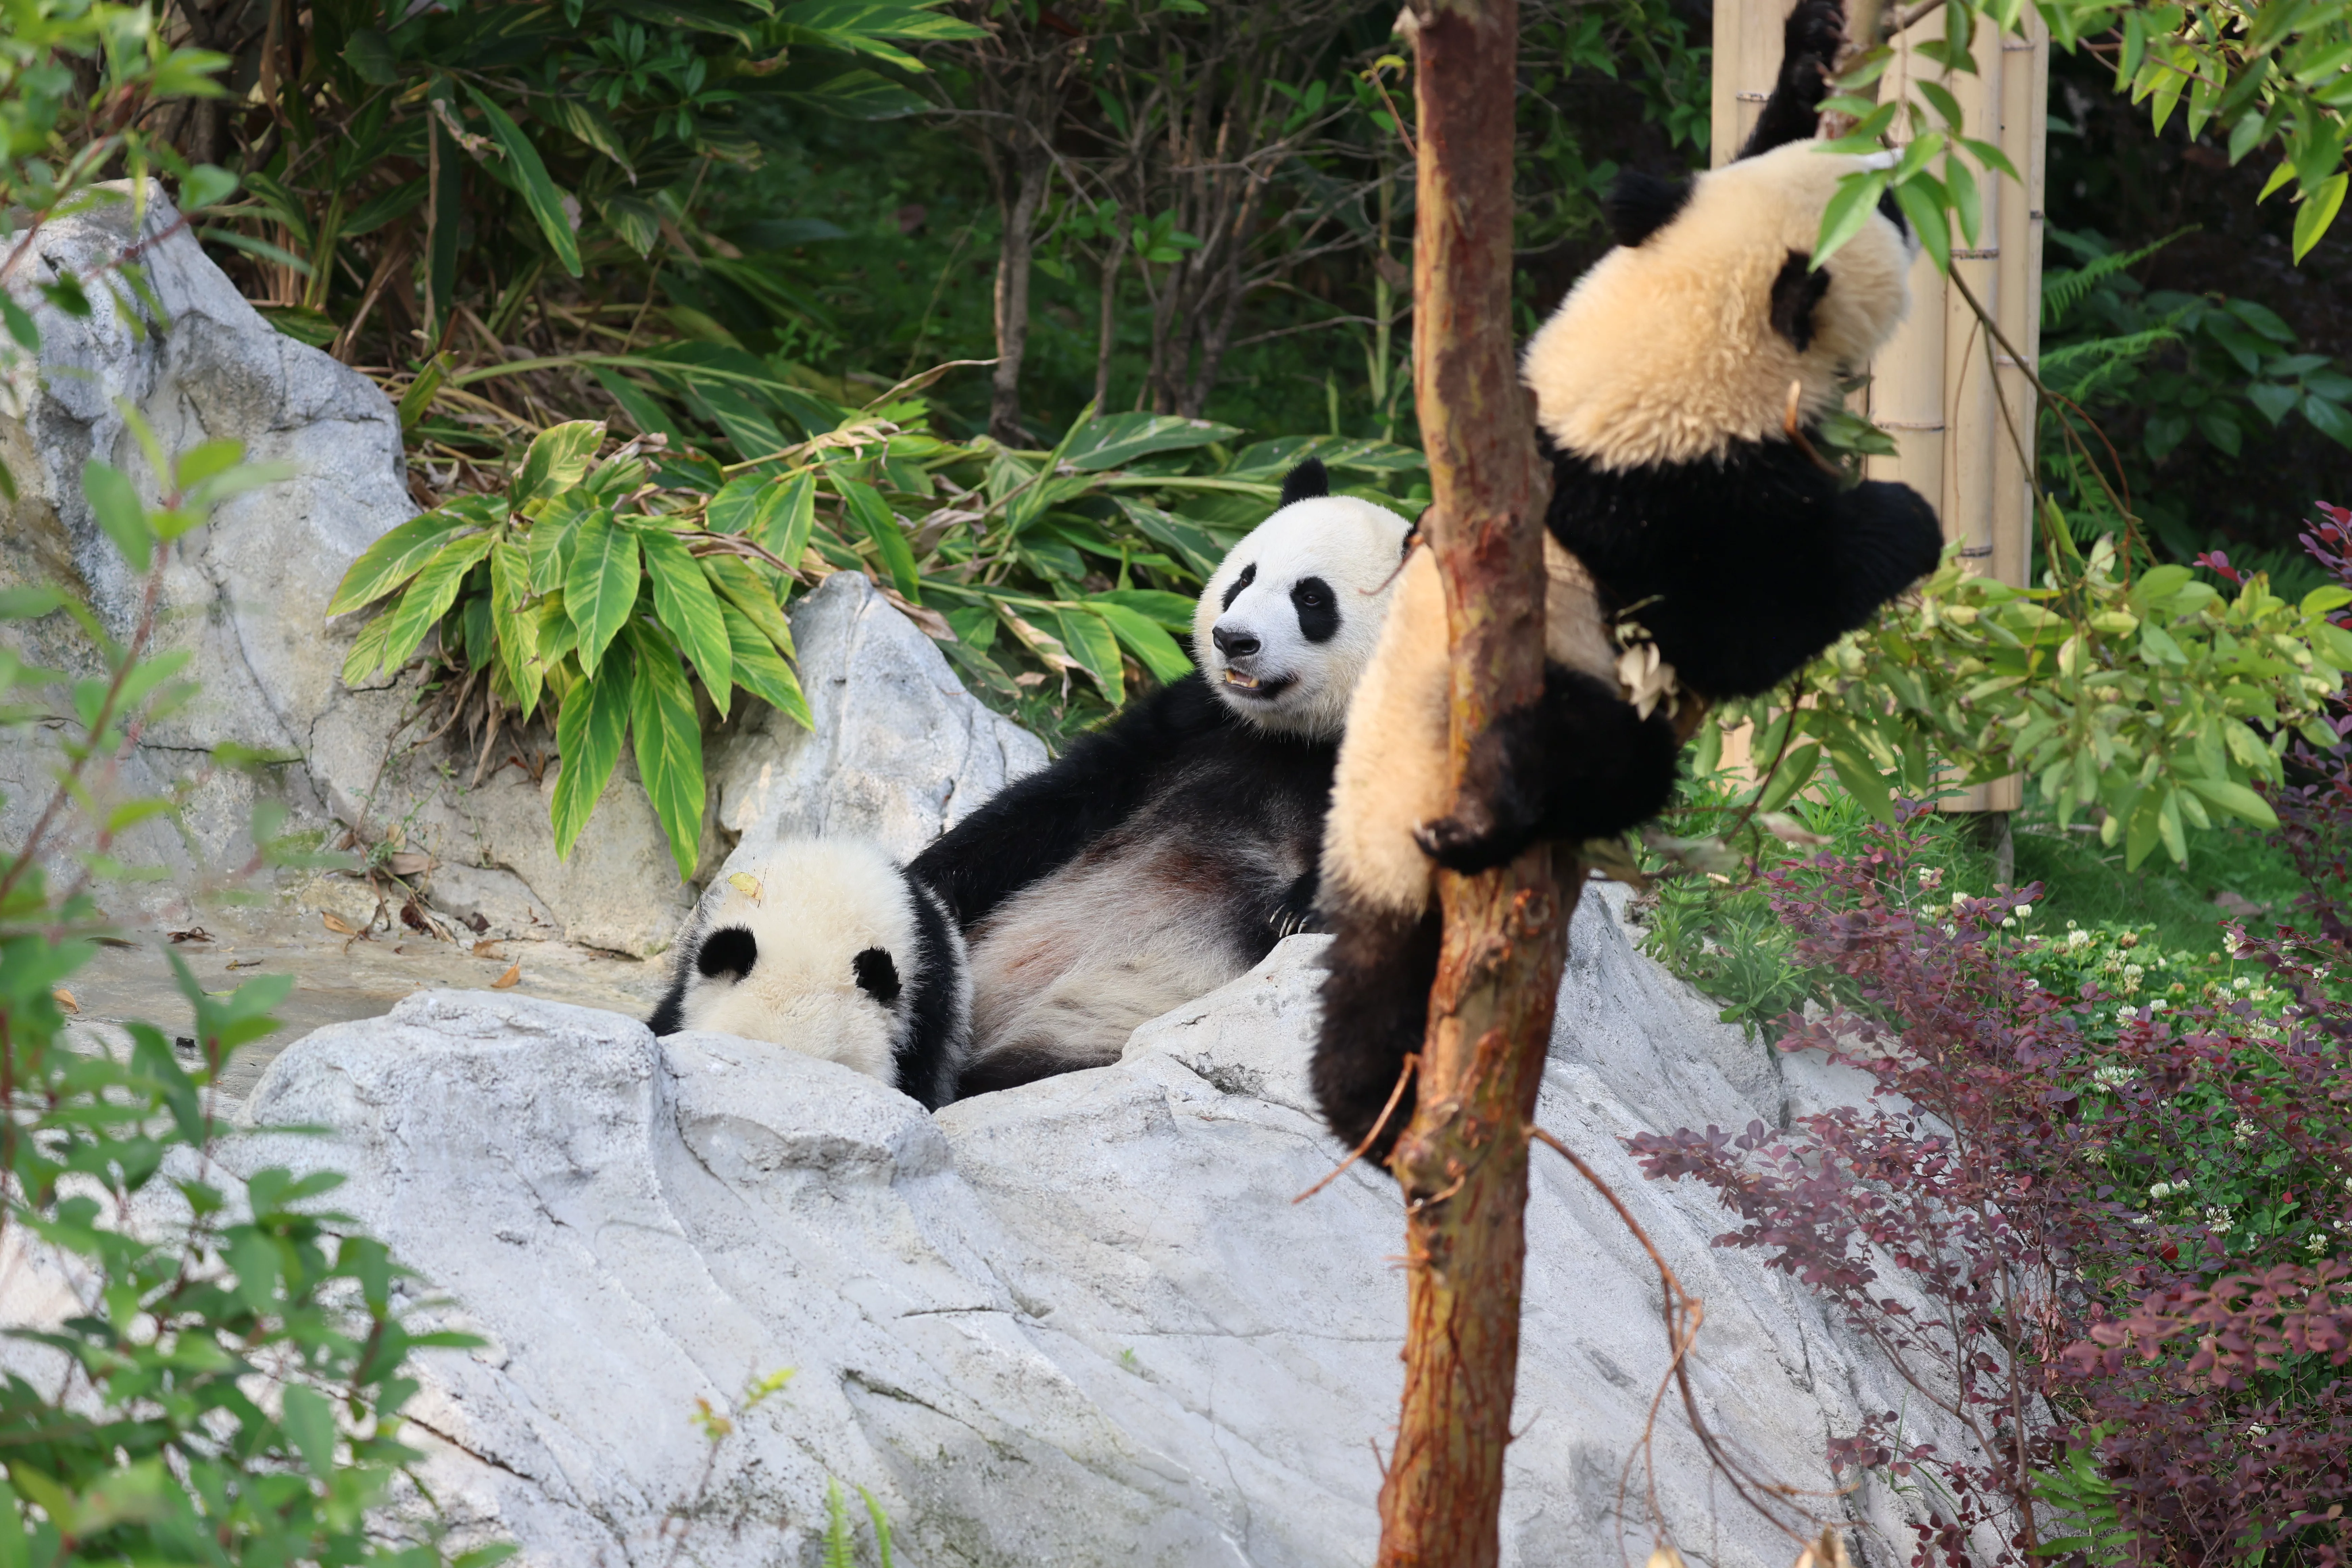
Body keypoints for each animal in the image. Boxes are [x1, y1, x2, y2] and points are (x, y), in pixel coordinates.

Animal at [912, 459, 1413, 1098]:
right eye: (1244, 578)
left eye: (1311, 597)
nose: (1233, 639)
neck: (1302, 738)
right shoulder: (1193, 723)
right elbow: (1056, 801)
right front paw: (927, 877)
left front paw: (1301, 910)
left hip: (1089, 1031)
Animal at [1310, 0, 1946, 1161]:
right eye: (1883, 210)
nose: (1898, 173)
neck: (1672, 337)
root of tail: (1388, 852)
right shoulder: (1664, 503)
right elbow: (1744, 625)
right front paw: (1903, 522)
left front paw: (1814, 46)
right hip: (1517, 711)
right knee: (1601, 761)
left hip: (1364, 864)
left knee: (1358, 999)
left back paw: (1371, 1114)